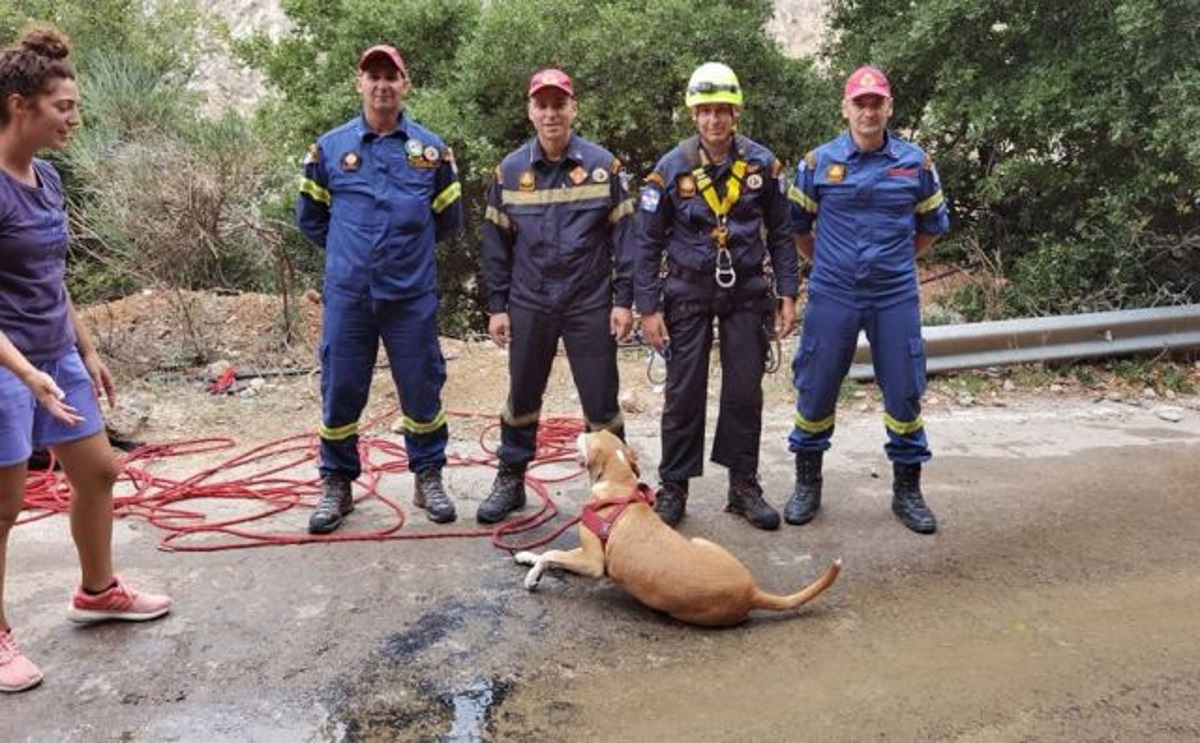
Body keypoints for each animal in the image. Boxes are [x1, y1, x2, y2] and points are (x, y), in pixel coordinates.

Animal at [511, 429, 840, 628]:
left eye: (590, 436)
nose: (579, 430)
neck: (618, 485)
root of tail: (752, 592)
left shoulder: (593, 562)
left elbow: (551, 554)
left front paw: (532, 576)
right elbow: (551, 553)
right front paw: (527, 556)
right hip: (702, 542)